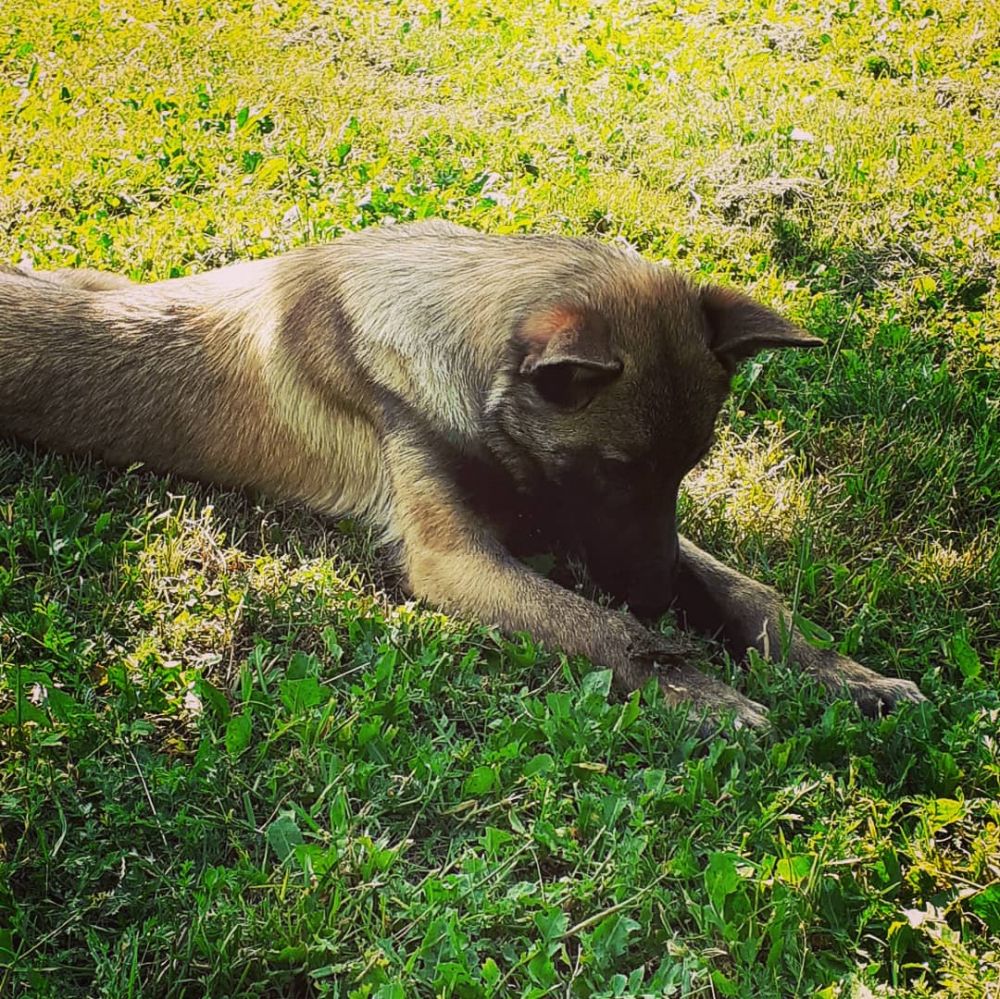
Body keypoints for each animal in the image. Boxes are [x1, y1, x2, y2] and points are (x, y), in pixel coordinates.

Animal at [0, 221, 924, 728]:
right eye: (612, 471)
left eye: (685, 470)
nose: (659, 596)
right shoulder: (460, 559)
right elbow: (598, 627)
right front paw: (696, 689)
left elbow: (749, 593)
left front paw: (844, 673)